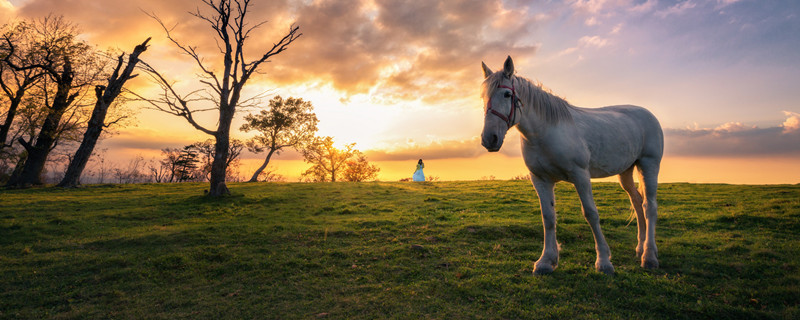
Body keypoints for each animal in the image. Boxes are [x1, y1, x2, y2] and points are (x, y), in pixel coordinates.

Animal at [482, 55, 664, 276]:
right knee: (637, 202)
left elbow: (591, 214)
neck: (546, 132)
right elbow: (548, 217)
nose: (489, 139)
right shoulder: (540, 179)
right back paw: (640, 248)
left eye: (507, 94)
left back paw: (650, 256)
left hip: (649, 164)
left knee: (649, 206)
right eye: (483, 97)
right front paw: (546, 261)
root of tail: (647, 114)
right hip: (626, 172)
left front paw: (604, 262)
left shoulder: (580, 176)